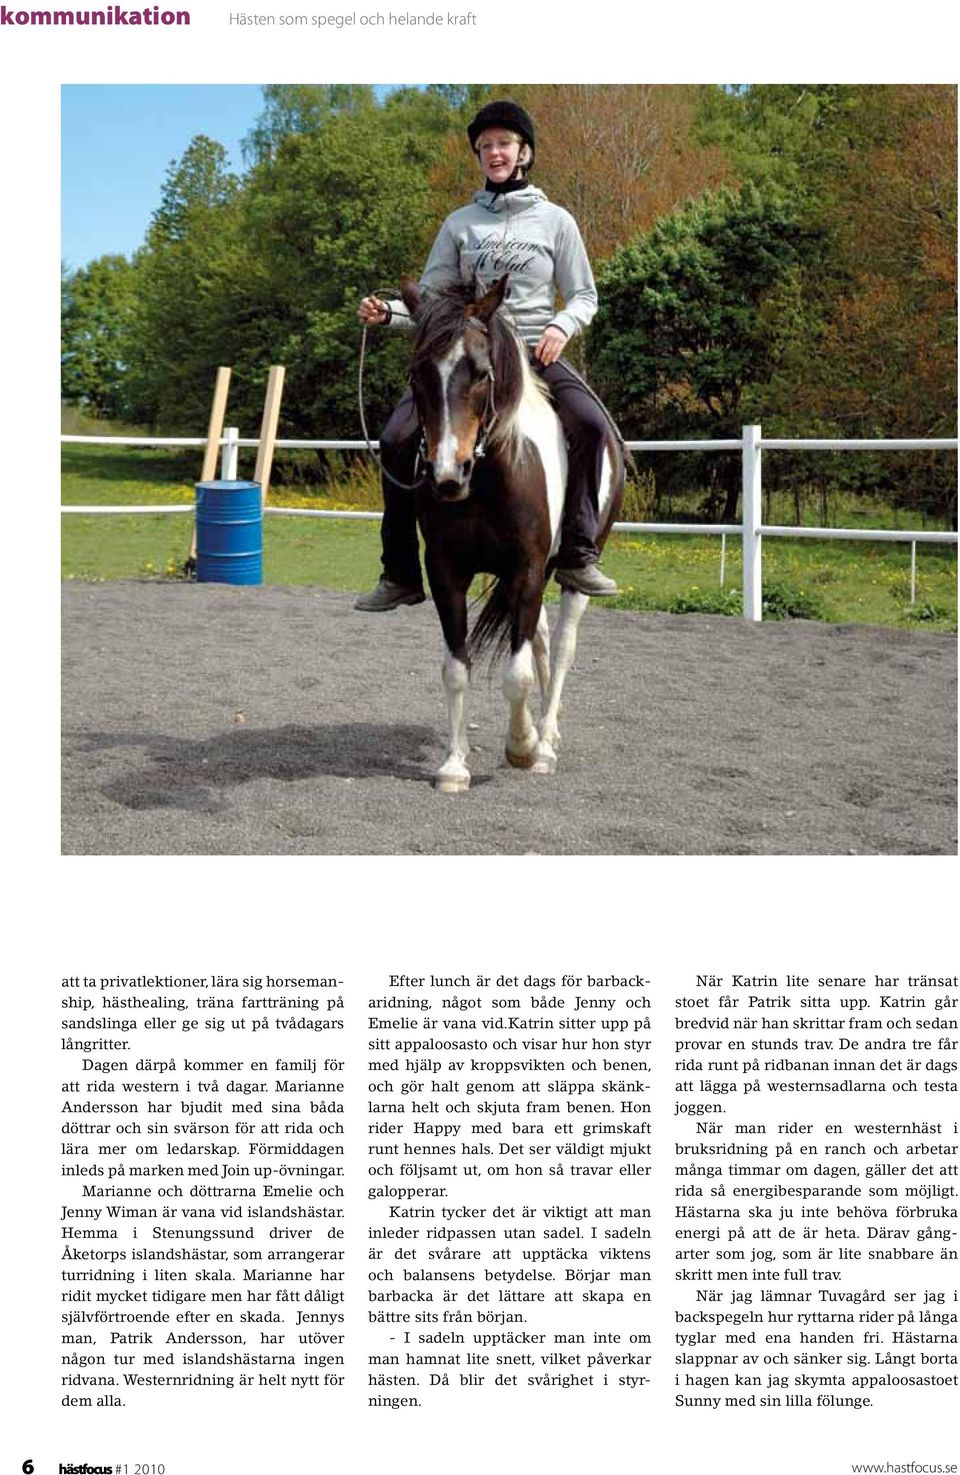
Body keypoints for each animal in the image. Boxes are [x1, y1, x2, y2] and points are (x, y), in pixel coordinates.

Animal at [395, 269, 622, 790]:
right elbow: (456, 668)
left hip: (569, 571)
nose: (448, 473)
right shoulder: (447, 572)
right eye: (417, 374)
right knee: (539, 638)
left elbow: (516, 676)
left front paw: (522, 747)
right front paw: (454, 765)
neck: (491, 474)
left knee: (561, 646)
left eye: (481, 372)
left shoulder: (526, 570)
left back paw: (546, 739)